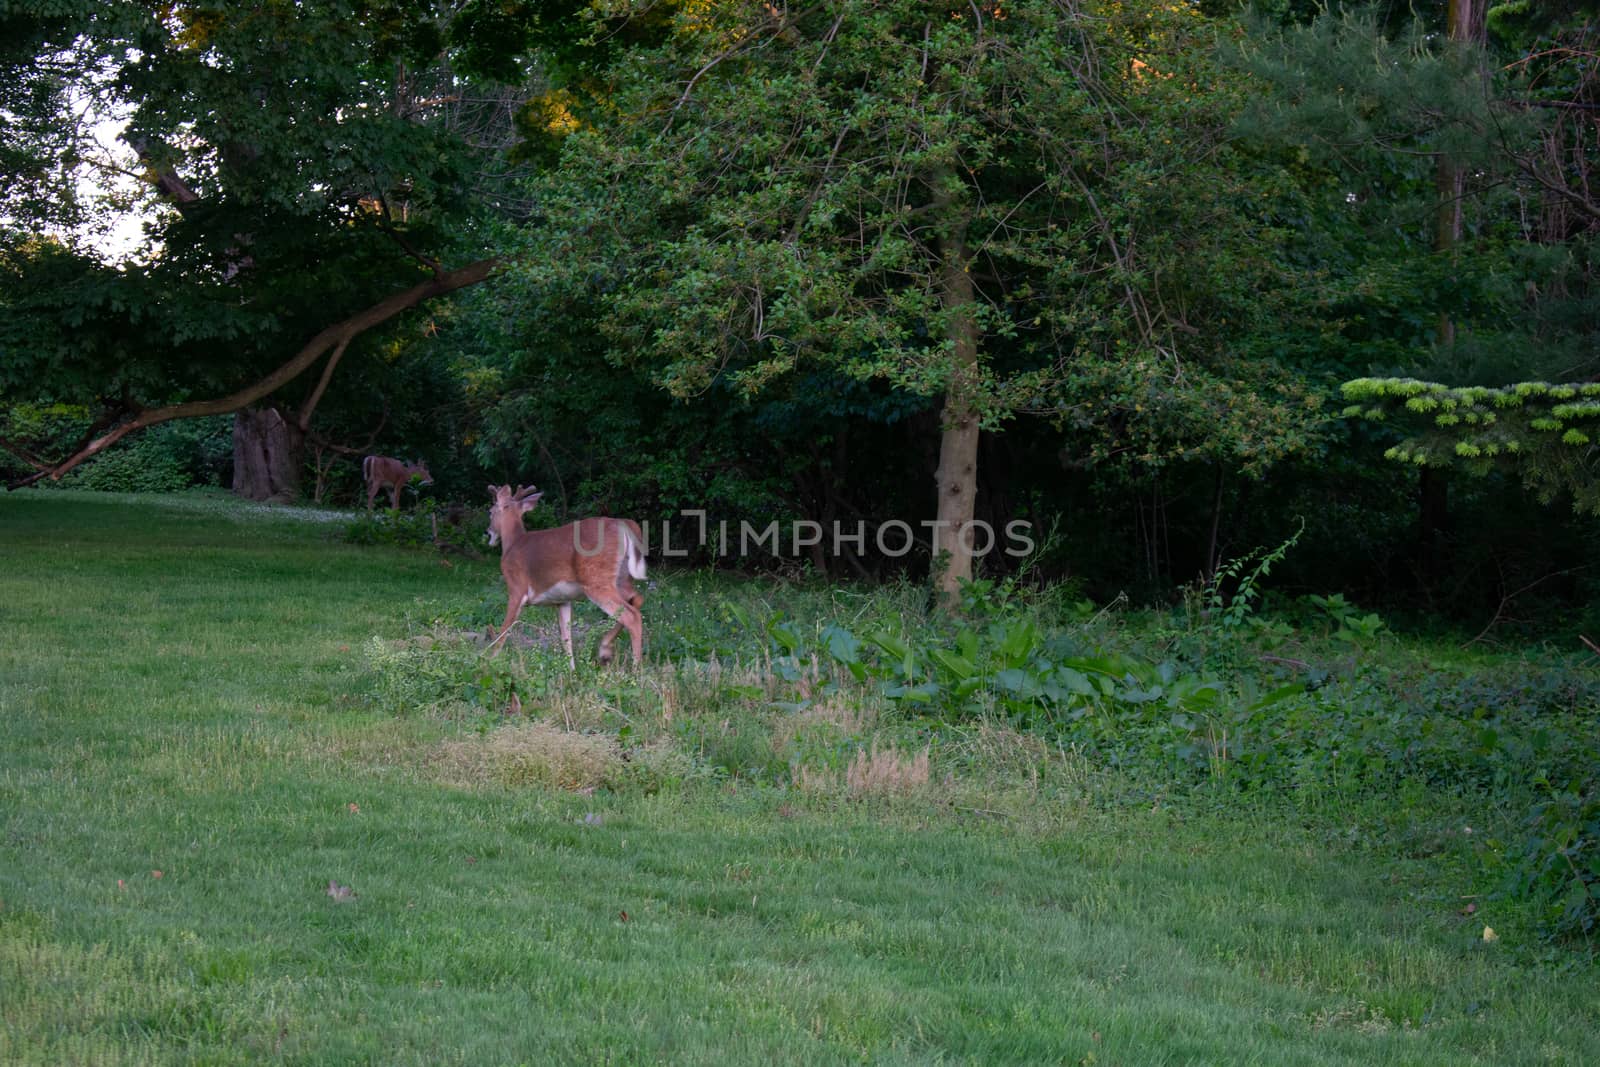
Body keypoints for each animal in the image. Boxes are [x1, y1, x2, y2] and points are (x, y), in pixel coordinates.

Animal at [483, 486, 646, 668]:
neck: (512, 543)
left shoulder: (516, 587)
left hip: (596, 580)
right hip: (622, 578)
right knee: (637, 600)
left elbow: (503, 631)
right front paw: (571, 671)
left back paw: (635, 668)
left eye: (490, 511)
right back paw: (605, 651)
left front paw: (489, 660)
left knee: (631, 616)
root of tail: (625, 525)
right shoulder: (562, 600)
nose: (487, 531)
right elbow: (566, 639)